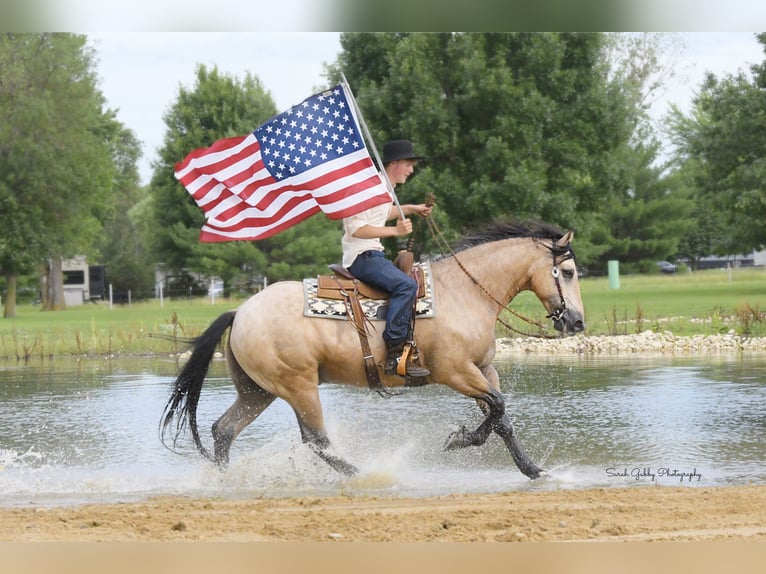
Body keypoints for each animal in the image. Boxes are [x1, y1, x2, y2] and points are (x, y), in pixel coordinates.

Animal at [159, 220, 584, 482]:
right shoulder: (456, 372)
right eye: (567, 272)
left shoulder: (483, 368)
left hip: (257, 391)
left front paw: (532, 470)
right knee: (316, 439)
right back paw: (365, 474)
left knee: (223, 430)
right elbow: (497, 407)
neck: (463, 292)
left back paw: (228, 480)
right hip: (297, 386)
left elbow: (501, 417)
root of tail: (241, 311)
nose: (576, 322)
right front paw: (458, 439)